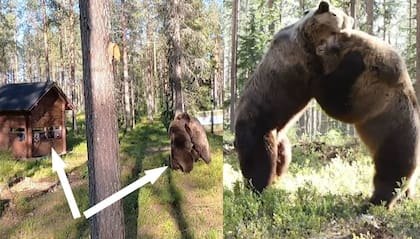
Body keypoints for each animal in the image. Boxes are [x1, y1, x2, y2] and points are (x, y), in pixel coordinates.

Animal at [233, 0, 354, 192]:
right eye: (339, 15)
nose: (352, 20)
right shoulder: (303, 64)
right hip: (258, 127)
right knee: (262, 161)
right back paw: (259, 188)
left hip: (281, 137)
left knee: (284, 157)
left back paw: (276, 181)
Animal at [316, 29, 420, 207]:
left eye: (331, 37)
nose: (320, 45)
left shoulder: (373, 93)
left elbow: (340, 105)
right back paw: (407, 196)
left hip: (394, 139)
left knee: (390, 175)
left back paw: (374, 202)